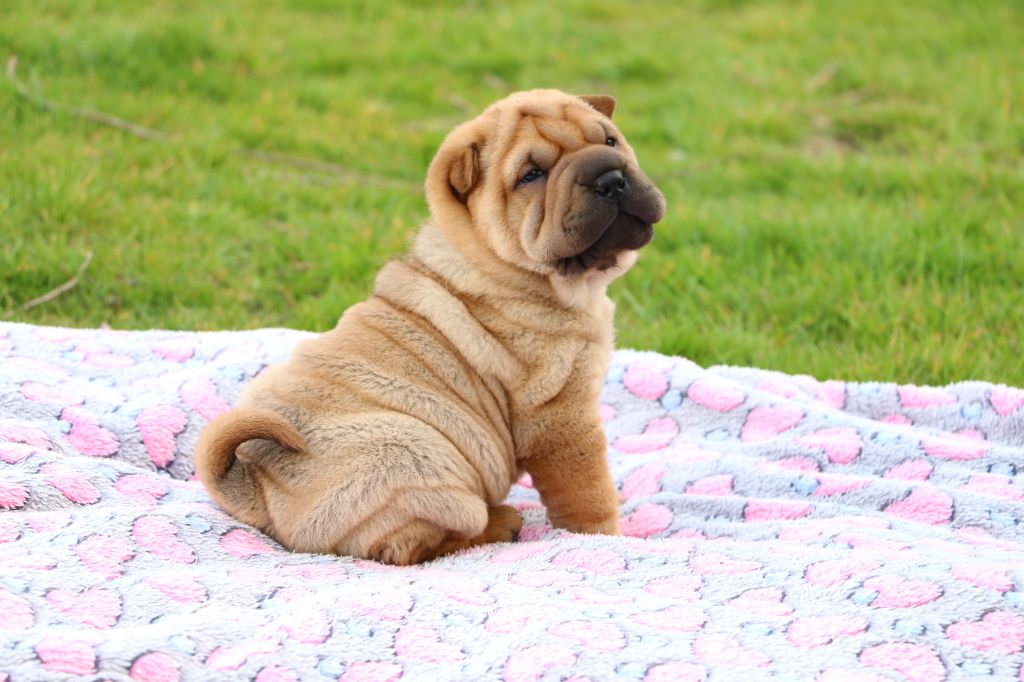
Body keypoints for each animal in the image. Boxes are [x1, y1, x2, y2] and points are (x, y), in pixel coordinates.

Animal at [195, 89, 666, 564]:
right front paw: (605, 538)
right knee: (413, 547)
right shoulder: (560, 415)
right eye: (532, 175)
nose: (609, 177)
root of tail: (259, 484)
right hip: (414, 455)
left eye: (610, 141)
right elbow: (588, 492)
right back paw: (501, 522)